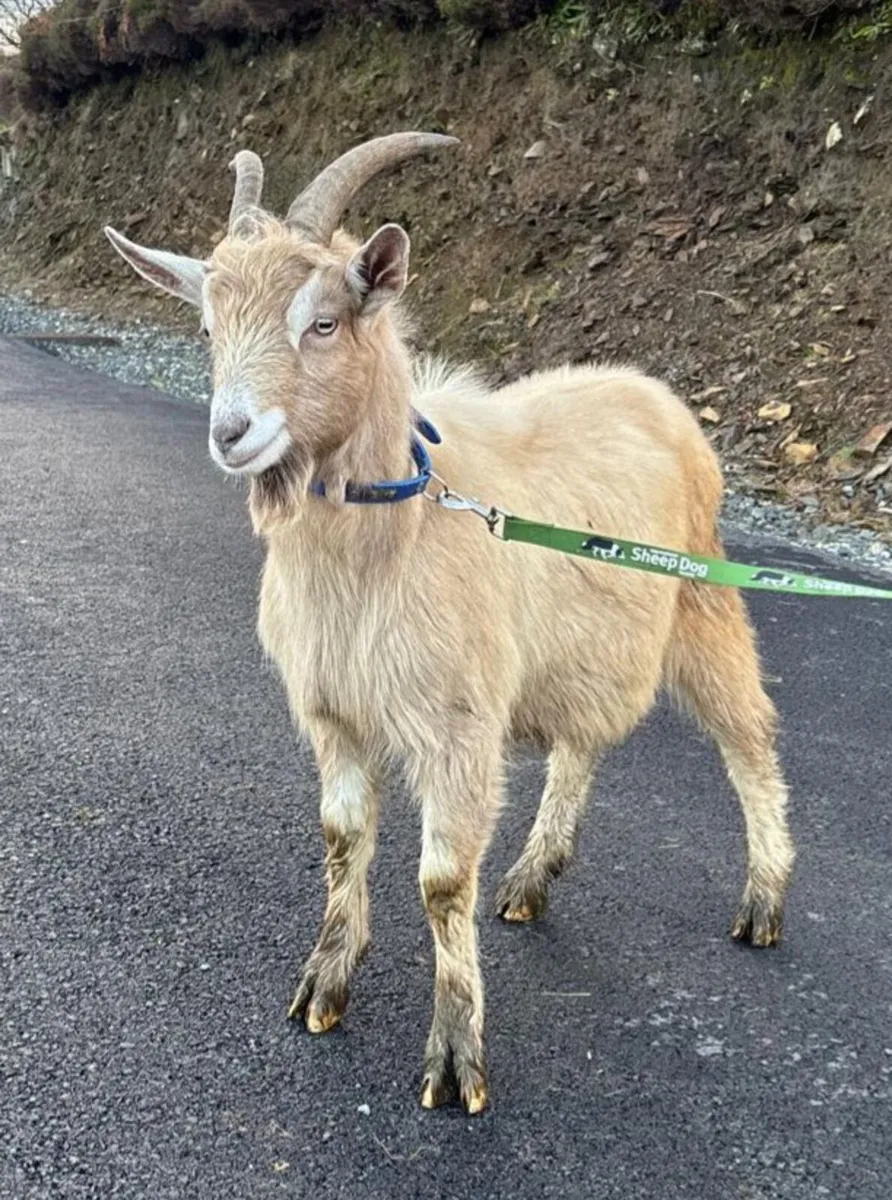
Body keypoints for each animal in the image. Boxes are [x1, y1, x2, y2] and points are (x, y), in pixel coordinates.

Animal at [104, 132, 795, 1113]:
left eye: (323, 322)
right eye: (207, 328)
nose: (232, 433)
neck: (398, 529)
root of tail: (653, 393)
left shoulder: (457, 726)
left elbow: (440, 882)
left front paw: (457, 1055)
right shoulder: (336, 713)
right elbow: (343, 840)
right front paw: (325, 986)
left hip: (704, 602)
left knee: (748, 739)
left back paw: (764, 898)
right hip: (580, 652)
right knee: (583, 744)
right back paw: (533, 877)